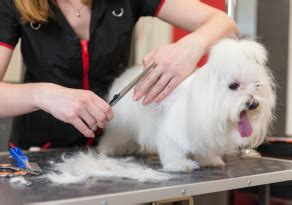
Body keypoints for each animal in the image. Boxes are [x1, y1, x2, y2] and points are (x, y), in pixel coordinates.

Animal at [98, 38, 276, 171]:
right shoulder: (171, 128)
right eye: (233, 86)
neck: (203, 99)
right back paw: (107, 149)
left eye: (257, 85)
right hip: (120, 126)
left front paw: (209, 160)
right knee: (113, 137)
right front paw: (179, 164)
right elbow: (173, 149)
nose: (253, 103)